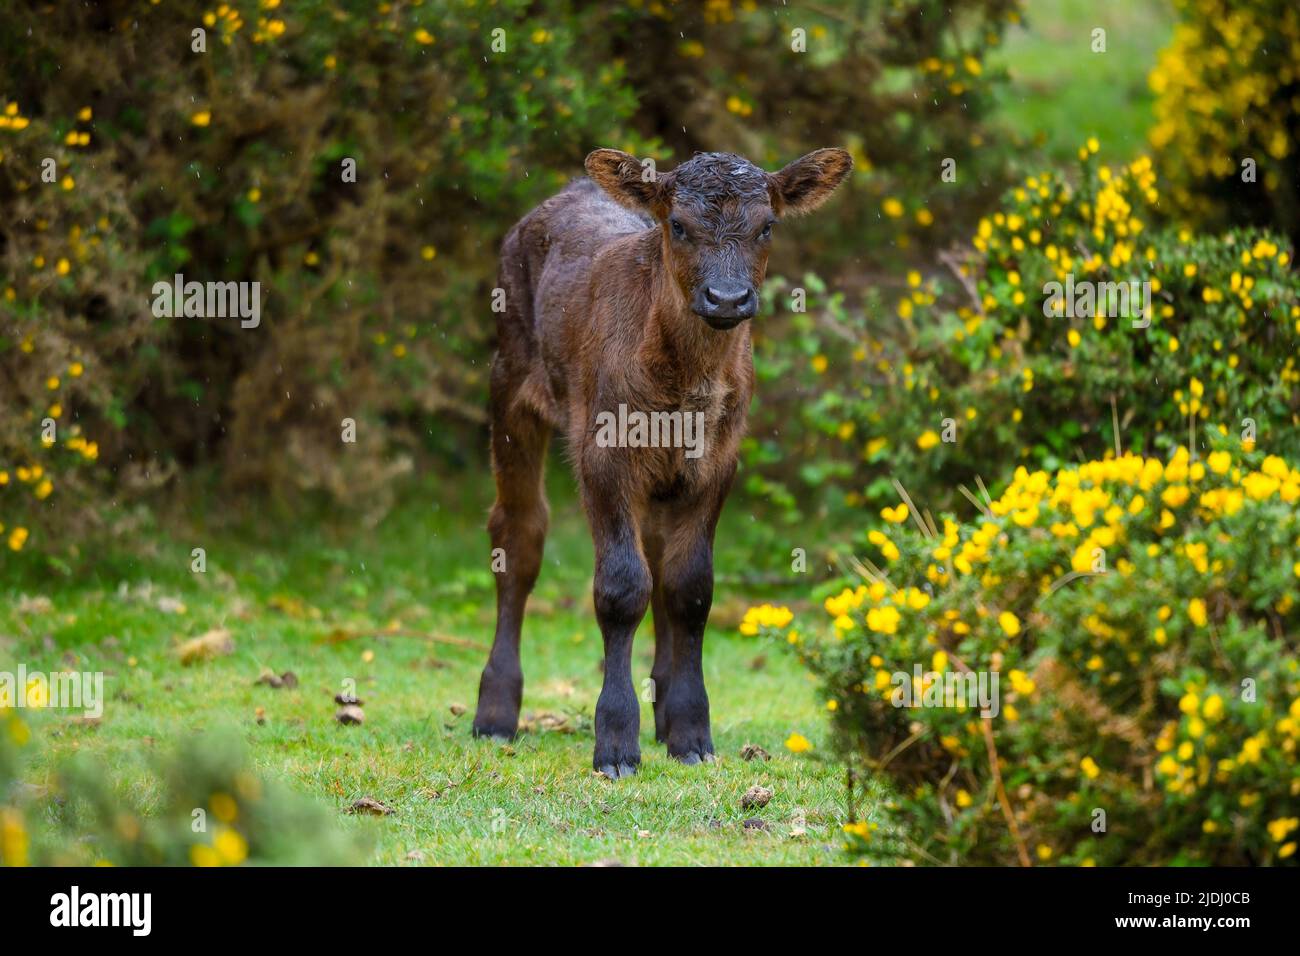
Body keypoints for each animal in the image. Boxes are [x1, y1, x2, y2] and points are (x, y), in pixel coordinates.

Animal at [473, 147, 857, 780]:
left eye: (767, 226)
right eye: (677, 225)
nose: (726, 298)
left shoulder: (718, 459)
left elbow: (688, 588)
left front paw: (691, 732)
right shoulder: (603, 453)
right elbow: (621, 587)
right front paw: (615, 744)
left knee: (654, 553)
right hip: (511, 382)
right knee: (519, 536)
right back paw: (495, 714)